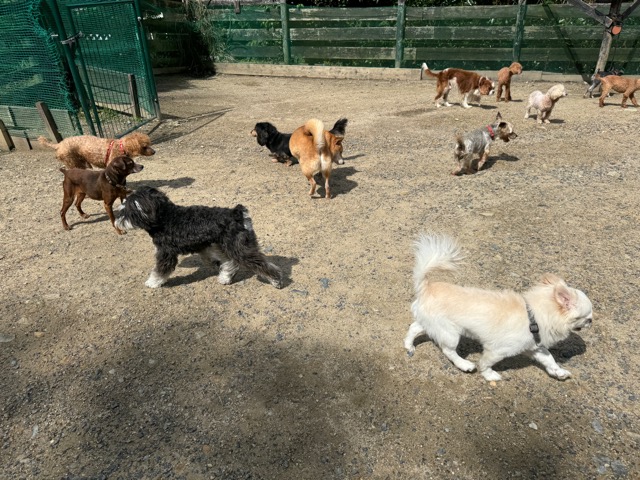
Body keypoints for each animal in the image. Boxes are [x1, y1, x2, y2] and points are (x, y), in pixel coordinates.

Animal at [114, 186, 283, 289]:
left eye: (125, 211)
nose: (116, 222)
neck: (164, 218)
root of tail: (237, 213)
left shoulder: (165, 254)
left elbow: (160, 270)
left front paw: (152, 282)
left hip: (239, 248)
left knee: (262, 264)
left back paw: (276, 280)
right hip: (220, 246)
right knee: (230, 263)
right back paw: (225, 278)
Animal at [404, 233, 593, 382]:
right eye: (587, 317)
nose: (591, 322)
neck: (532, 316)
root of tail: (426, 287)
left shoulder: (535, 347)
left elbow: (550, 360)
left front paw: (559, 372)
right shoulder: (497, 350)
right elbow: (486, 363)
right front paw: (489, 375)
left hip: (431, 323)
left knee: (414, 327)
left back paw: (409, 346)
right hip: (450, 333)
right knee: (448, 350)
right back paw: (465, 364)